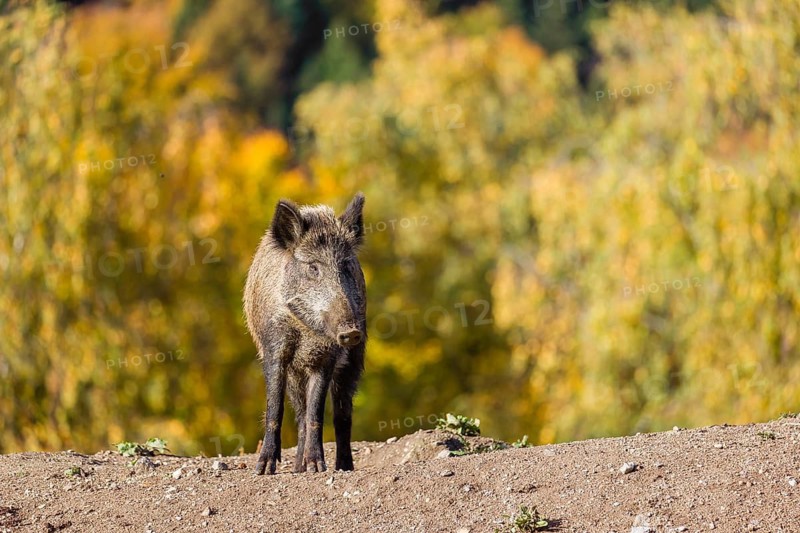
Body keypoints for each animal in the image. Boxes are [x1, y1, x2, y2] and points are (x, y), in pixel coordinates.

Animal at [244, 193, 367, 475]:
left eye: (345, 266)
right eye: (313, 268)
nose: (351, 331)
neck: (305, 331)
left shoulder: (326, 358)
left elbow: (317, 412)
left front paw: (317, 467)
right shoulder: (274, 350)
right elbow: (275, 408)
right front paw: (263, 469)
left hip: (354, 360)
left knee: (342, 413)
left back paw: (342, 467)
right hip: (294, 375)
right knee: (299, 412)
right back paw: (298, 468)